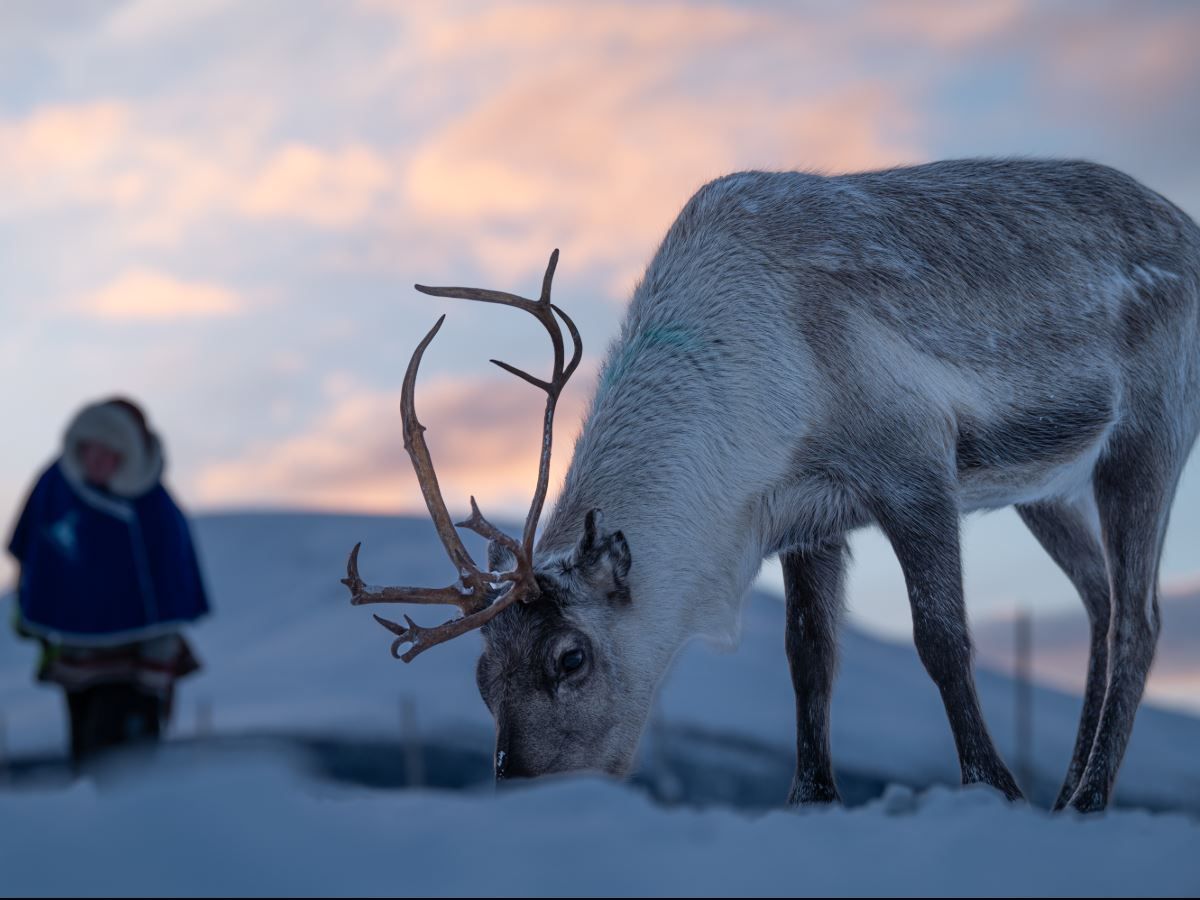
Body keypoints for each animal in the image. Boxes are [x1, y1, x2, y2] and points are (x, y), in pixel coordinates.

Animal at [343, 158, 1200, 812]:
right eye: (482, 676)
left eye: (570, 658)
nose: (528, 798)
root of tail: (1187, 224)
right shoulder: (810, 517)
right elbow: (808, 657)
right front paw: (811, 799)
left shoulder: (915, 466)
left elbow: (941, 639)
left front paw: (994, 790)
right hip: (1044, 488)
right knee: (1100, 601)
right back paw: (1070, 793)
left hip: (1149, 433)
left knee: (1140, 617)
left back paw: (1087, 799)